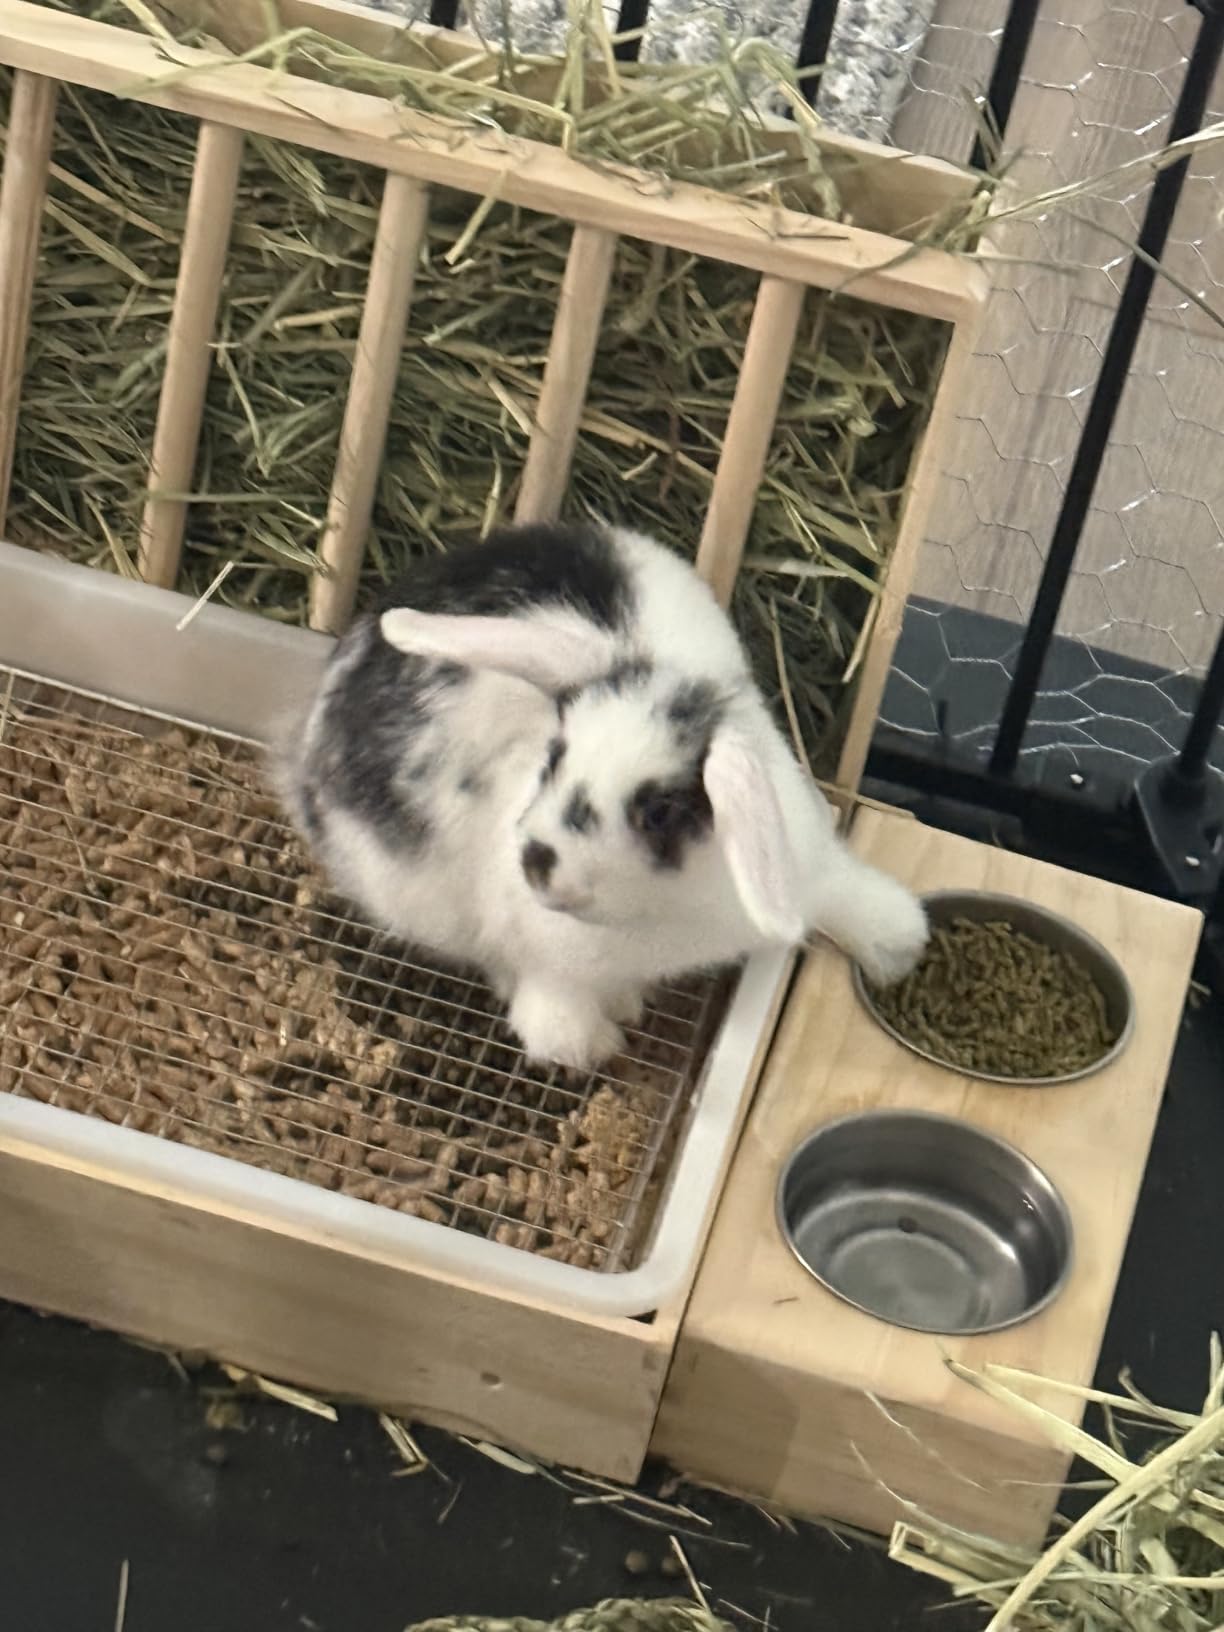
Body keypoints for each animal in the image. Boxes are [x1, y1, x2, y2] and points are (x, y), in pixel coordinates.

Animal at [277, 520, 929, 1070]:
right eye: (555, 756)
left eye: (658, 811)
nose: (537, 863)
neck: (671, 905)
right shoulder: (543, 951)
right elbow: (553, 1002)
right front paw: (584, 1043)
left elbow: (840, 894)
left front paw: (899, 946)